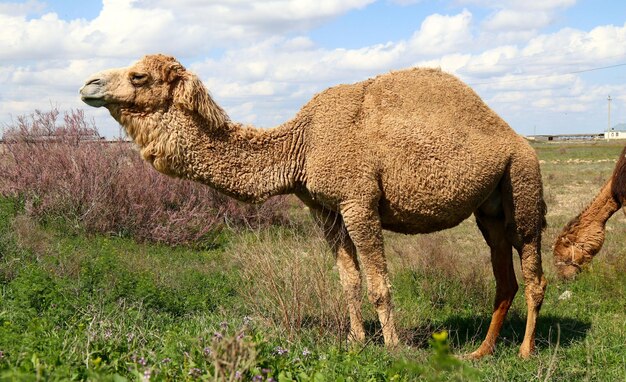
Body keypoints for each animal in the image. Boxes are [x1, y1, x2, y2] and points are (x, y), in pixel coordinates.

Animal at [79, 53, 544, 358]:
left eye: (138, 75)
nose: (87, 85)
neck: (301, 145)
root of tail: (515, 137)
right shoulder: (324, 208)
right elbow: (349, 280)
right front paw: (357, 341)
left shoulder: (358, 201)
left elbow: (378, 284)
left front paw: (394, 347)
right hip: (490, 207)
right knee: (504, 276)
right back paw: (481, 352)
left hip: (522, 181)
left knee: (532, 270)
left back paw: (524, 351)